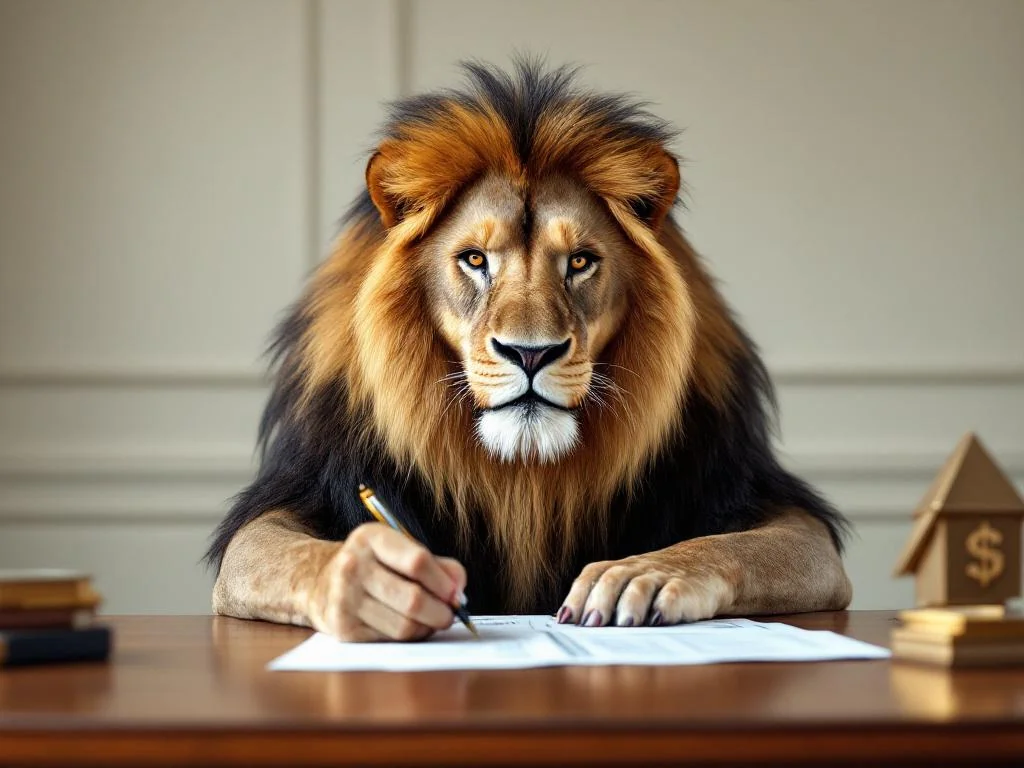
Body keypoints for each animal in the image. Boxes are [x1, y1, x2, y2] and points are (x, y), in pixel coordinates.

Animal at [205, 60, 852, 640]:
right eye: (474, 259)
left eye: (581, 261)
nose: (531, 353)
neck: (523, 481)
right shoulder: (304, 489)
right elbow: (280, 552)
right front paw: (372, 579)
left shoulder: (763, 501)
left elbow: (726, 545)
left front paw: (637, 574)